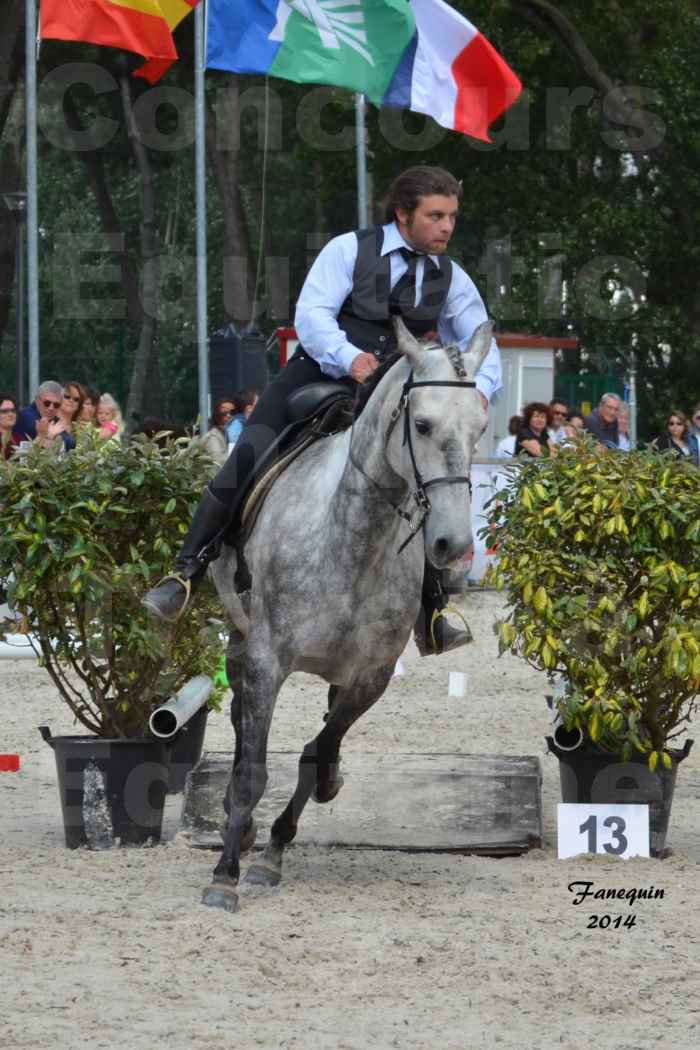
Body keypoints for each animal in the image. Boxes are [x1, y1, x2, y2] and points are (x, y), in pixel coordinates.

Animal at [203, 317, 493, 911]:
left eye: (479, 428)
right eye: (422, 424)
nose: (452, 546)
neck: (354, 537)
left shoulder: (371, 676)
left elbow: (317, 755)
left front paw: (272, 852)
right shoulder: (268, 659)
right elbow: (254, 769)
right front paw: (225, 876)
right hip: (241, 629)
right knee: (241, 716)